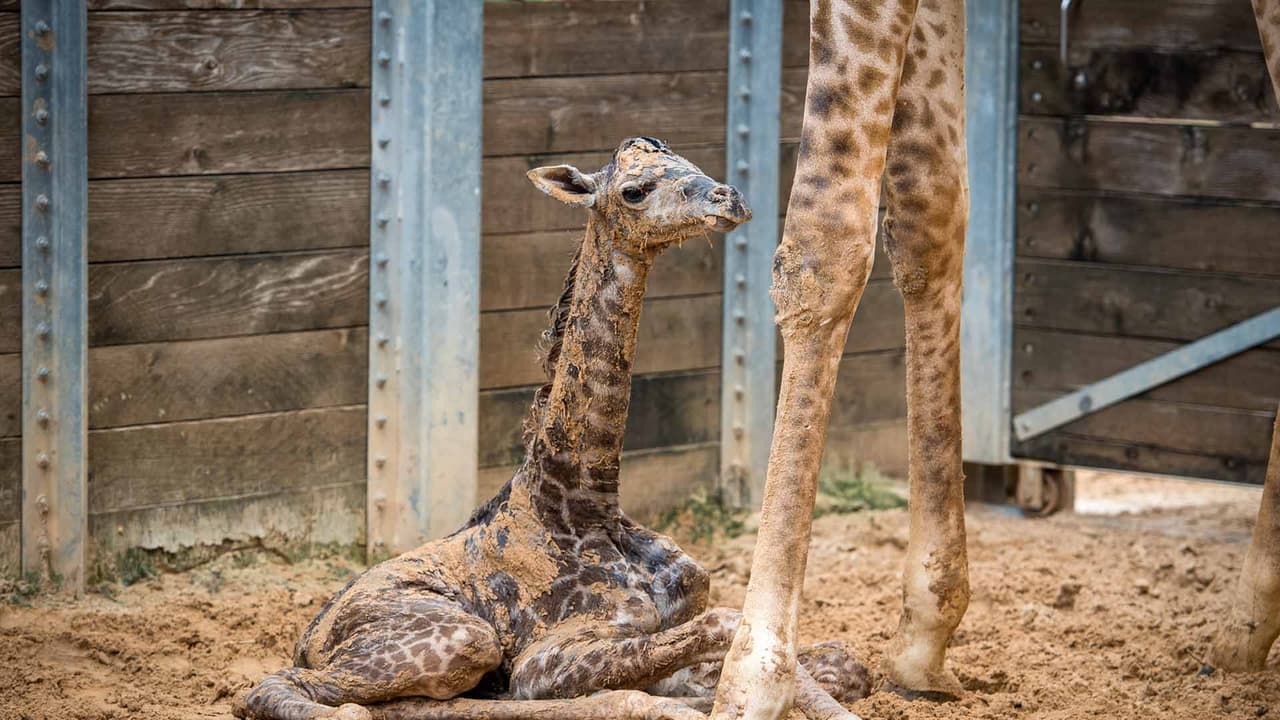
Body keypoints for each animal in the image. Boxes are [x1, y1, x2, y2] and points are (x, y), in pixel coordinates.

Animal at [234, 137, 871, 720]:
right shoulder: (543, 660)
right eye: (634, 191)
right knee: (285, 691)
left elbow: (843, 663)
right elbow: (725, 627)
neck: (587, 505)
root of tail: (308, 637)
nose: (728, 198)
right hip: (463, 639)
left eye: (691, 162)